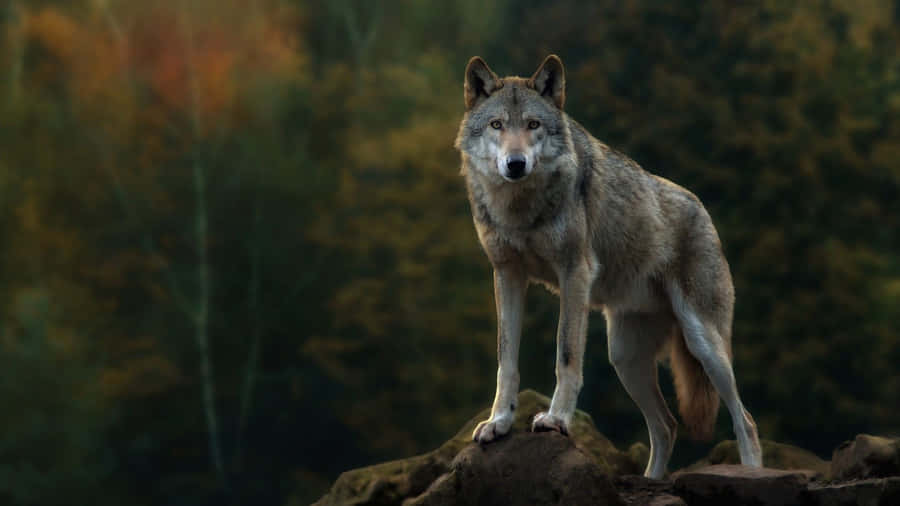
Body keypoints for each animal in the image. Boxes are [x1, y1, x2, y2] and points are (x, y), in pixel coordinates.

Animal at [454, 55, 763, 479]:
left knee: (744, 419)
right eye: (497, 125)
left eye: (533, 125)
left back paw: (752, 472)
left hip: (704, 345)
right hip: (624, 357)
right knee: (666, 426)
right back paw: (650, 479)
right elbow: (507, 361)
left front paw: (556, 419)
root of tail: (703, 210)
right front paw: (499, 422)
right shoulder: (507, 275)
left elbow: (566, 355)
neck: (520, 209)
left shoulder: (574, 274)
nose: (515, 164)